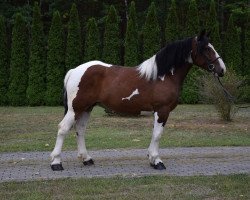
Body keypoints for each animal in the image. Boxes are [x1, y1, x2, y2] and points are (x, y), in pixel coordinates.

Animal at [49, 30, 226, 171]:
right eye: (206, 49)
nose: (222, 70)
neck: (163, 76)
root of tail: (74, 70)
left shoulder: (158, 112)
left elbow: (154, 134)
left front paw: (152, 159)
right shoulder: (162, 110)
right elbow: (158, 135)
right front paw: (157, 161)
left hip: (86, 108)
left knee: (80, 129)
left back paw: (87, 159)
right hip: (76, 108)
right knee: (63, 128)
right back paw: (56, 163)